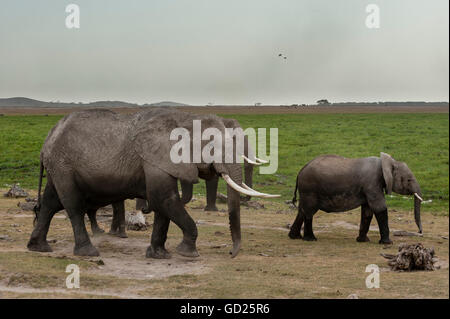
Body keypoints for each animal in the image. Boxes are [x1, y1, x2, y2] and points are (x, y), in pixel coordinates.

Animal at [28, 109, 278, 258]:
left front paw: (159, 254)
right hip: (64, 165)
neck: (185, 119)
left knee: (50, 203)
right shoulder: (156, 158)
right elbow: (163, 199)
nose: (231, 254)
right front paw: (187, 253)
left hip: (59, 167)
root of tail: (46, 141)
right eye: (211, 145)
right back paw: (88, 252)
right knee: (72, 205)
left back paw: (39, 248)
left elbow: (163, 206)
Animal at [290, 154, 424, 244]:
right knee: (309, 211)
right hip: (310, 188)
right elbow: (379, 208)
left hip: (306, 190)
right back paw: (310, 239)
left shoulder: (370, 187)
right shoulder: (372, 183)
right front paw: (387, 243)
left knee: (302, 210)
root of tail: (300, 171)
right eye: (409, 180)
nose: (419, 232)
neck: (387, 162)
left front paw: (363, 240)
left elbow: (367, 211)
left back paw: (294, 237)